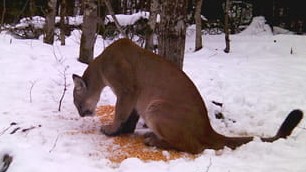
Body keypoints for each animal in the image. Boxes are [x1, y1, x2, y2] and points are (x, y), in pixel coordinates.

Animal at [72, 38, 304, 154]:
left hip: (156, 107)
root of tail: (208, 128)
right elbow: (130, 116)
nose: (81, 114)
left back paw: (153, 140)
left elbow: (120, 113)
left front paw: (111, 130)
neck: (101, 65)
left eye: (76, 102)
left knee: (194, 147)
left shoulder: (128, 90)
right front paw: (124, 130)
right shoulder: (135, 98)